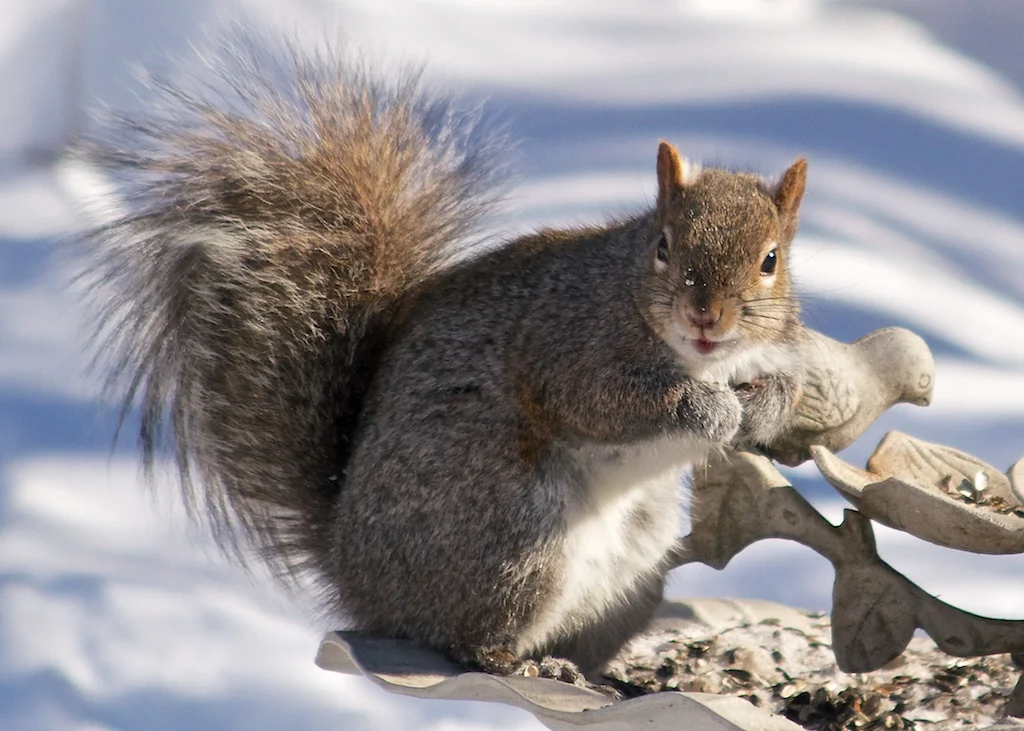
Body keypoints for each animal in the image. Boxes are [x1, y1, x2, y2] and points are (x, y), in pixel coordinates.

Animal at [78, 35, 807, 683]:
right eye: (662, 246)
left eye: (772, 260)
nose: (706, 315)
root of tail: (356, 575)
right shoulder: (568, 346)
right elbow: (608, 401)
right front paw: (710, 410)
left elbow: (785, 385)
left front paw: (764, 405)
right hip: (512, 542)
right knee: (463, 638)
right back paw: (521, 662)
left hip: (634, 575)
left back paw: (598, 676)